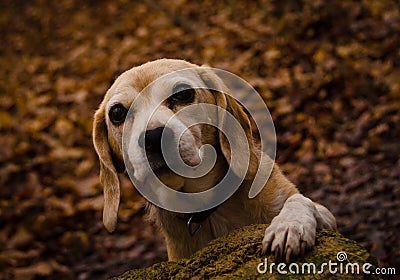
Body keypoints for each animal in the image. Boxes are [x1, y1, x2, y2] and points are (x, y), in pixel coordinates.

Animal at [92, 59, 336, 262]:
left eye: (183, 94)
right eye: (117, 113)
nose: (153, 138)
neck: (207, 207)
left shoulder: (327, 217)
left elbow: (300, 201)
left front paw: (289, 226)